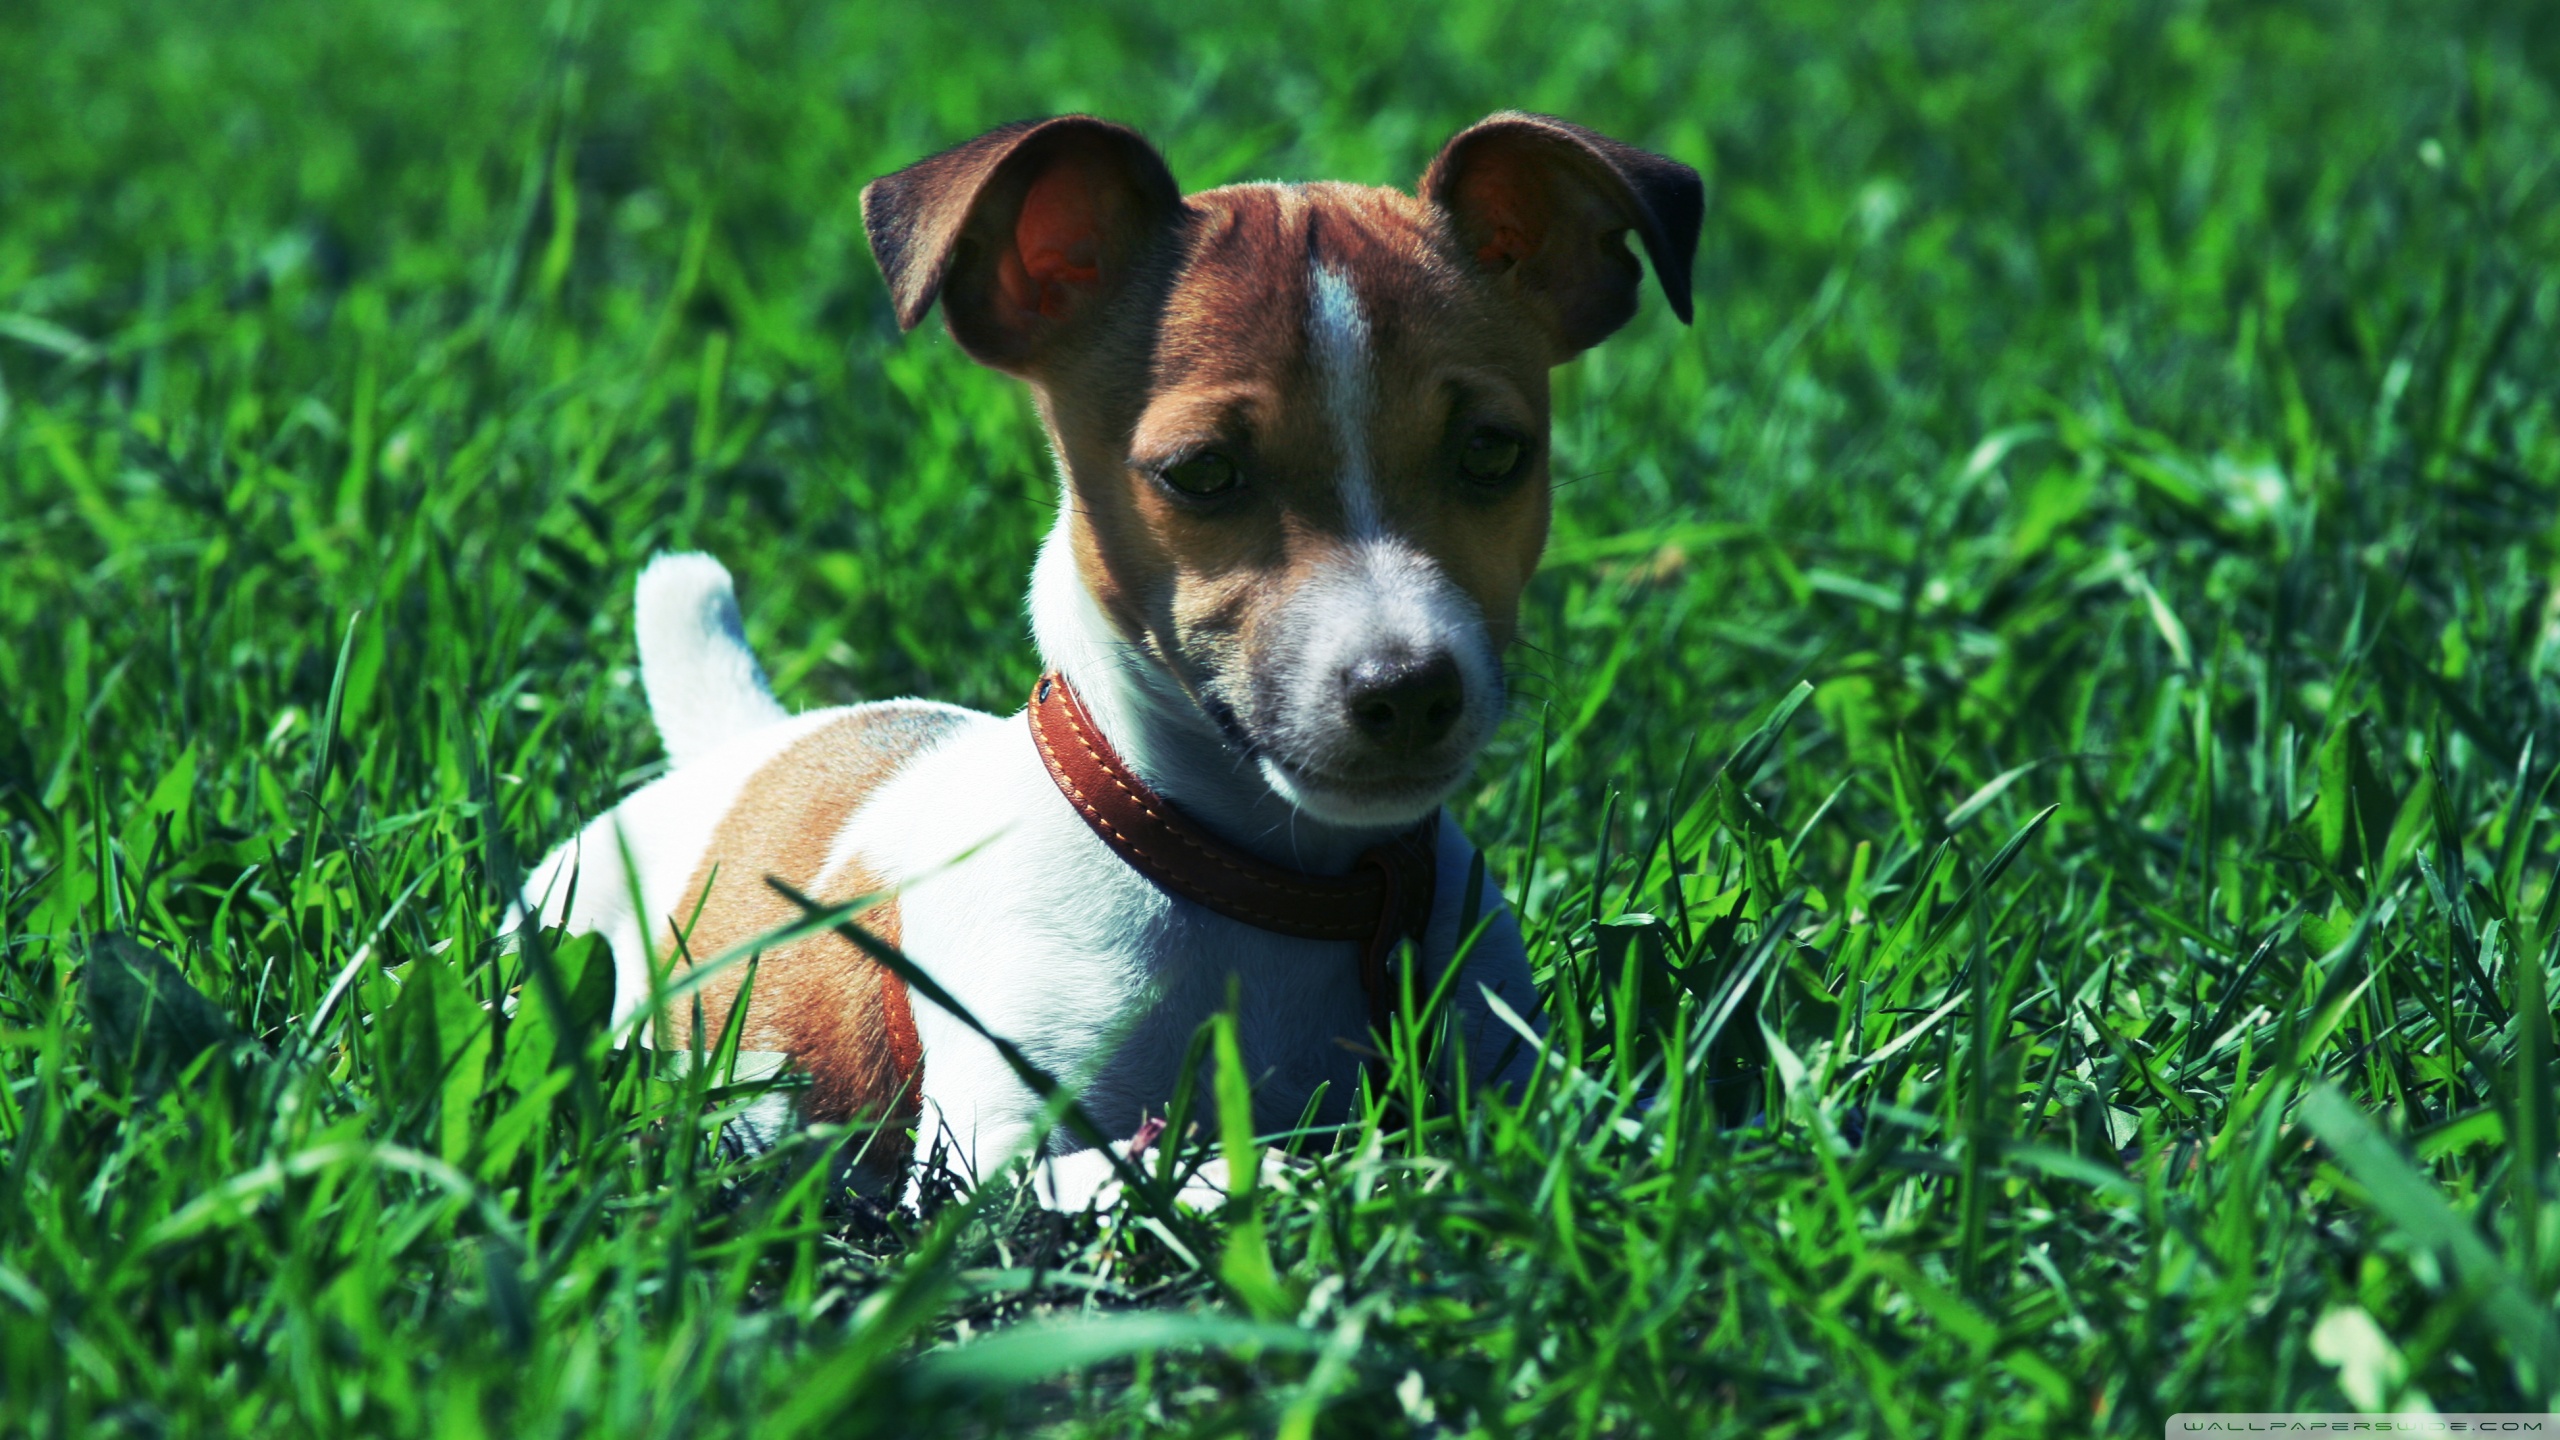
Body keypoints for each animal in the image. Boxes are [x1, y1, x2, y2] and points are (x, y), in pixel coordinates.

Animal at [529, 112, 1699, 1199]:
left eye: (1495, 452)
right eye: (1203, 473)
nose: (1408, 691)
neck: (1281, 887)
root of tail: (747, 744)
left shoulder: (1504, 1059)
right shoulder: (999, 1154)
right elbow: (1213, 1167)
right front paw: (1368, 1172)